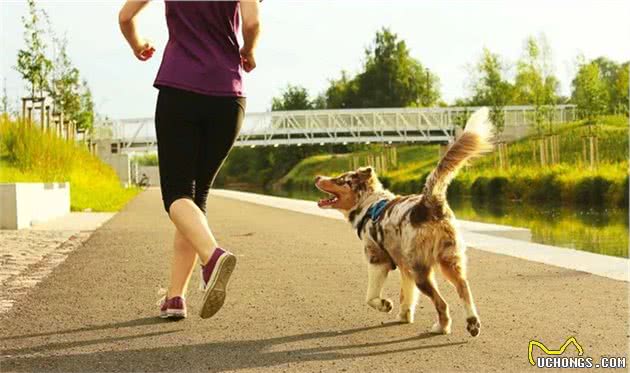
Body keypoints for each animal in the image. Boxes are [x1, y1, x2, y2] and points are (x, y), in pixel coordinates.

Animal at [316, 106, 494, 336]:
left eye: (340, 180)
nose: (317, 177)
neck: (369, 204)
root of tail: (429, 202)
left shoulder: (377, 259)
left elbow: (370, 296)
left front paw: (385, 305)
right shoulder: (403, 266)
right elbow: (406, 296)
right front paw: (404, 316)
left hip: (421, 270)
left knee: (442, 302)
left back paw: (442, 327)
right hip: (449, 260)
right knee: (464, 287)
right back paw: (472, 323)